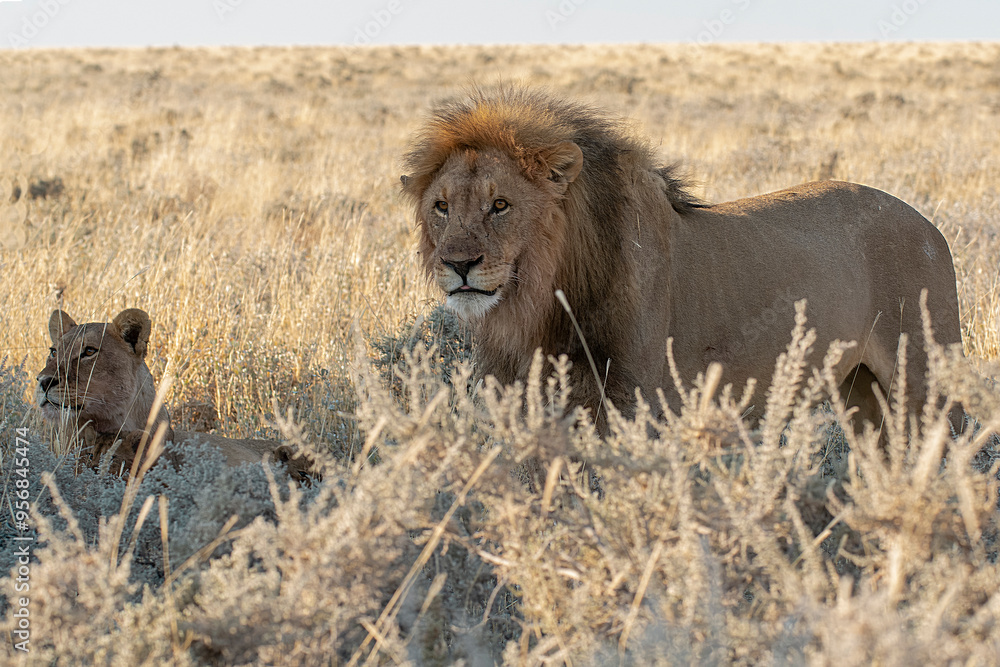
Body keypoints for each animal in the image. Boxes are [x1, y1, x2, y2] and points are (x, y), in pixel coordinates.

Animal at [400, 87, 965, 435]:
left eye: (500, 205)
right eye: (442, 207)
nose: (458, 264)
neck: (540, 302)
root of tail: (928, 223)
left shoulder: (633, 405)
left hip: (927, 381)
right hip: (859, 390)